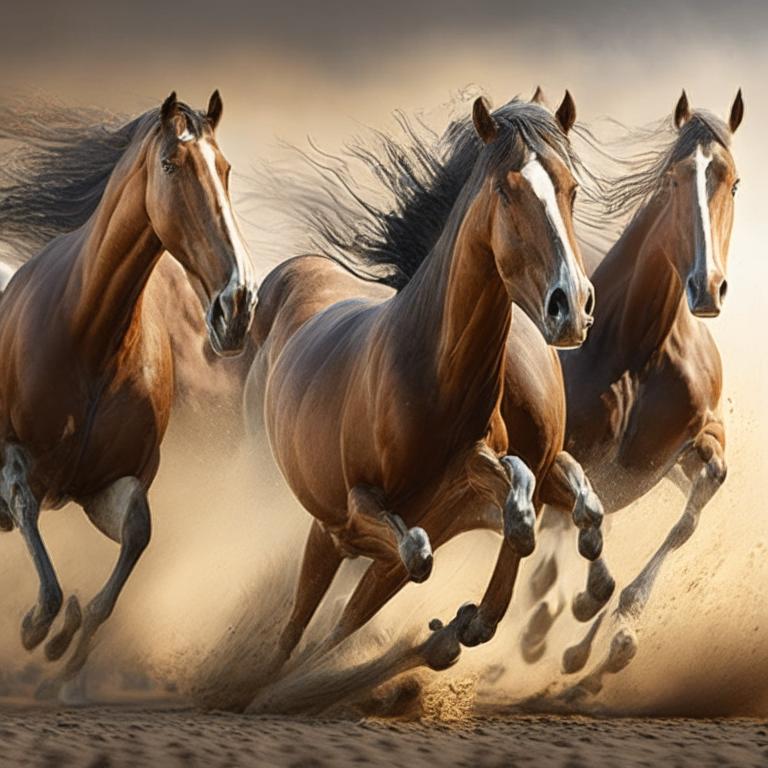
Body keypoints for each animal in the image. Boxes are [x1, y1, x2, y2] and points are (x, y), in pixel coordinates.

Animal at [0, 92, 256, 684]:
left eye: (225, 169)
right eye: (170, 165)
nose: (237, 306)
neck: (88, 338)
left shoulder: (106, 485)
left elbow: (134, 539)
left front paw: (65, 649)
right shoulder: (15, 461)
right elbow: (28, 516)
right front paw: (36, 626)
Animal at [246, 93, 598, 676]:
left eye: (572, 188)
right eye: (506, 189)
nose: (569, 304)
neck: (428, 370)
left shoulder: (471, 476)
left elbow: (522, 516)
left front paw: (471, 623)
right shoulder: (357, 509)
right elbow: (414, 554)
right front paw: (457, 628)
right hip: (300, 510)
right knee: (300, 624)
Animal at [527, 90, 744, 689]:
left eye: (734, 182)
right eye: (672, 179)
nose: (706, 287)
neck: (637, 345)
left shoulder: (693, 442)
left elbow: (695, 507)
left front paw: (618, 630)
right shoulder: (571, 452)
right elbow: (583, 511)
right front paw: (576, 612)